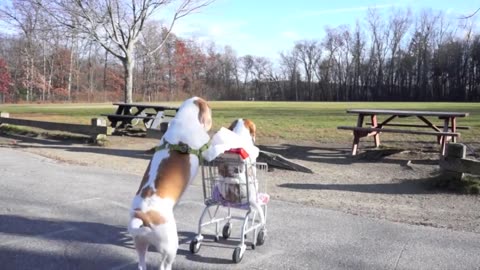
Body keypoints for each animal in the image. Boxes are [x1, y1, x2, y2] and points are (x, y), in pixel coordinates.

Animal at [127, 97, 212, 270]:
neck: (185, 118)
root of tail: (143, 215)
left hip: (140, 244)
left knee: (142, 264)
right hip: (170, 247)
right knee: (164, 266)